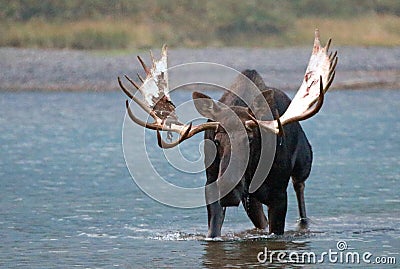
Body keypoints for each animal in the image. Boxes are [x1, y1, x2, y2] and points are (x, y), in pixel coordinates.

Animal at [118, 28, 338, 237]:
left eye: (250, 139)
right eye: (216, 141)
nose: (228, 187)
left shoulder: (278, 195)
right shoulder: (211, 188)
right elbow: (214, 230)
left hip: (303, 164)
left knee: (300, 192)